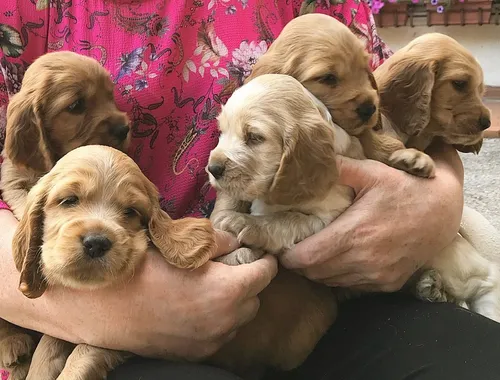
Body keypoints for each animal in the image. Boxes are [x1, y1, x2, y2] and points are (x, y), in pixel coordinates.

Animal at [13, 145, 215, 380]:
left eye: (130, 211)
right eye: (69, 200)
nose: (96, 243)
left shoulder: (121, 337)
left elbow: (81, 354)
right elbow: (48, 346)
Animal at [201, 74, 366, 378]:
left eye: (254, 137)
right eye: (221, 132)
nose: (213, 168)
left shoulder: (329, 214)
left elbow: (286, 221)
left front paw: (243, 224)